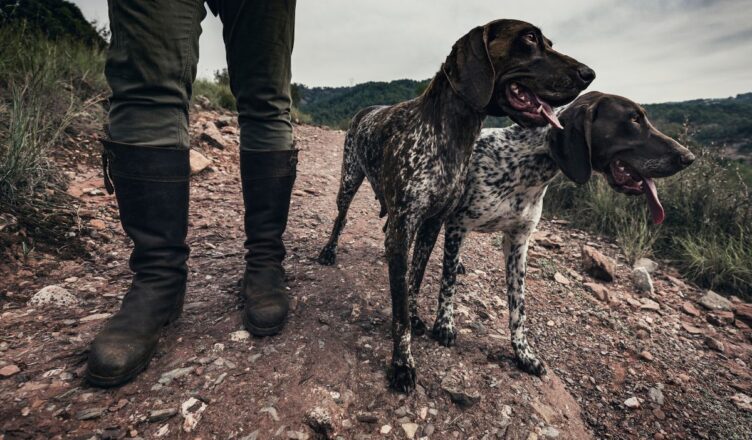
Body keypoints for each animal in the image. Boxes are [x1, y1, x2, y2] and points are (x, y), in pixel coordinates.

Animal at [316, 19, 592, 392]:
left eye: (549, 41)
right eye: (529, 38)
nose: (589, 73)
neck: (451, 135)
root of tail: (365, 111)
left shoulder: (432, 225)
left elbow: (414, 281)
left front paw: (416, 316)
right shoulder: (408, 225)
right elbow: (400, 311)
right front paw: (402, 363)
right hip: (349, 180)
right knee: (340, 219)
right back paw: (329, 251)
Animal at [428, 92, 692, 374]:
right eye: (633, 119)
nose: (688, 157)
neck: (526, 166)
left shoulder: (518, 242)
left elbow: (518, 307)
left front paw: (523, 353)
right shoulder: (458, 225)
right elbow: (447, 285)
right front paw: (444, 325)